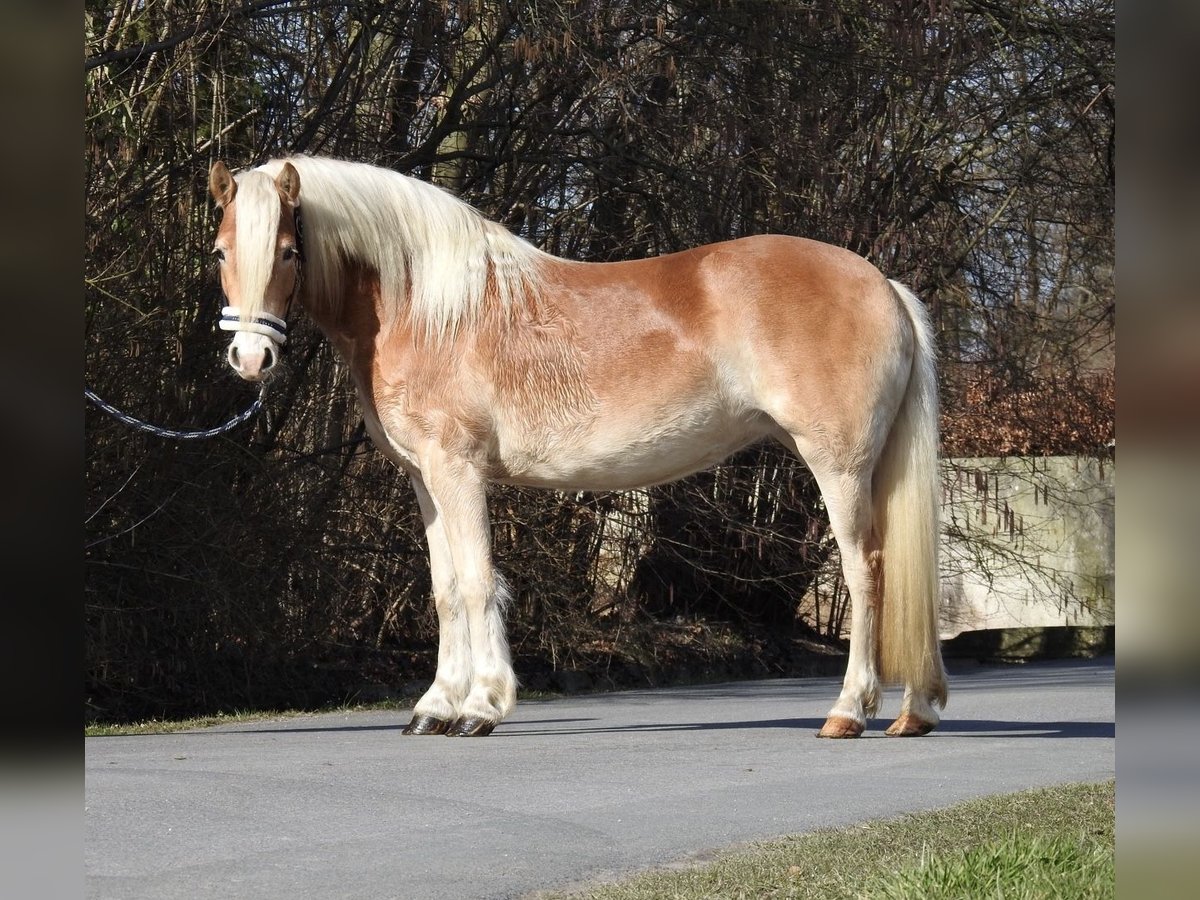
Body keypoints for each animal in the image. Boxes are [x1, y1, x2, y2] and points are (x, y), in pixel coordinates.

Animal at [211, 154, 950, 744]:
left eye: (286, 251)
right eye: (220, 252)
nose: (250, 358)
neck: (424, 306)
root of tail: (884, 286)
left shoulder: (458, 469)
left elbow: (477, 582)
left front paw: (481, 707)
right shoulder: (426, 478)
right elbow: (445, 589)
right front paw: (435, 707)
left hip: (839, 467)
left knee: (868, 571)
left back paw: (849, 711)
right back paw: (914, 712)